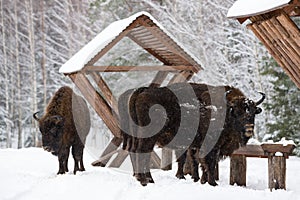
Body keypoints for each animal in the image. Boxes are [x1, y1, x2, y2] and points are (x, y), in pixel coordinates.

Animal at [118, 82, 264, 186]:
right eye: (238, 112)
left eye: (252, 112)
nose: (249, 128)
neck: (226, 110)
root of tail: (142, 91)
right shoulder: (211, 145)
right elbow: (209, 162)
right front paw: (212, 183)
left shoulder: (196, 145)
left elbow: (197, 162)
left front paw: (201, 180)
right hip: (148, 137)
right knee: (142, 152)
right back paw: (146, 180)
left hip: (136, 135)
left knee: (134, 151)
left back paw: (143, 178)